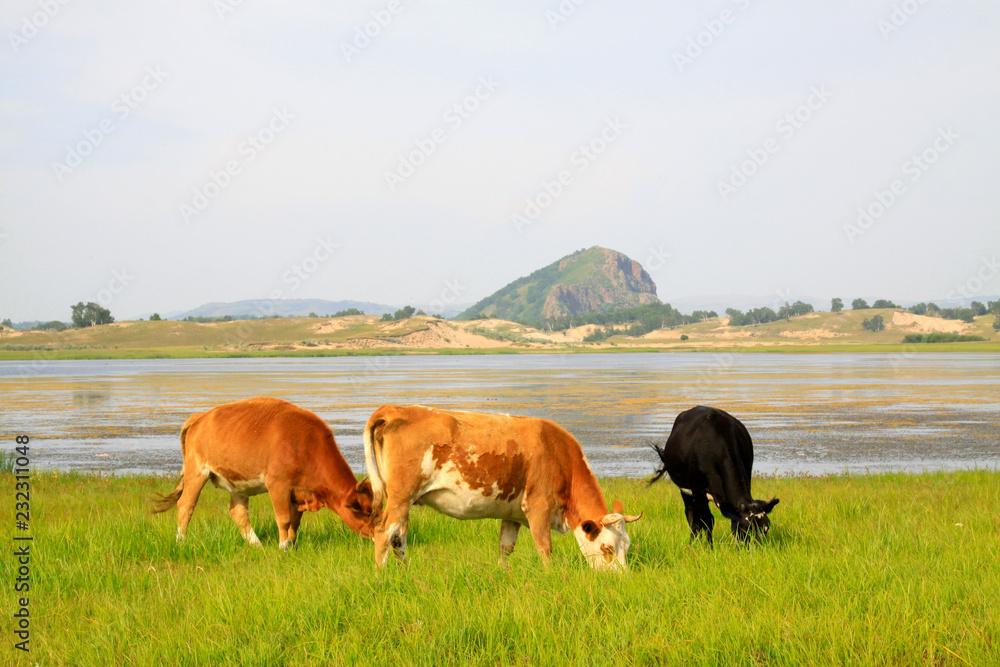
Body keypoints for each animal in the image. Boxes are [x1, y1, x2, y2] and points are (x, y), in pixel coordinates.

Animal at [153, 397, 375, 549]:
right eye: (367, 512)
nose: (380, 536)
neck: (305, 443)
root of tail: (200, 417)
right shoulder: (278, 485)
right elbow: (283, 519)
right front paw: (283, 548)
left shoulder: (297, 493)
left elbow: (295, 521)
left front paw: (292, 546)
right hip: (196, 472)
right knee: (186, 505)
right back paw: (181, 541)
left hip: (237, 485)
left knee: (238, 512)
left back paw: (257, 546)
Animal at [363, 405, 641, 571]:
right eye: (607, 548)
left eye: (627, 547)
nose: (620, 579)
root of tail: (397, 409)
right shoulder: (538, 506)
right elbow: (545, 548)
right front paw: (551, 576)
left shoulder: (512, 514)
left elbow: (505, 547)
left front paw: (500, 572)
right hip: (401, 496)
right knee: (383, 532)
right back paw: (381, 575)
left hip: (403, 499)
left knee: (399, 537)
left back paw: (404, 572)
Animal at [651, 406, 778, 544]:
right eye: (744, 528)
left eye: (766, 528)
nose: (757, 547)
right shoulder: (698, 490)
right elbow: (706, 520)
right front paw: (708, 546)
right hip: (685, 490)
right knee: (691, 515)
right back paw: (692, 542)